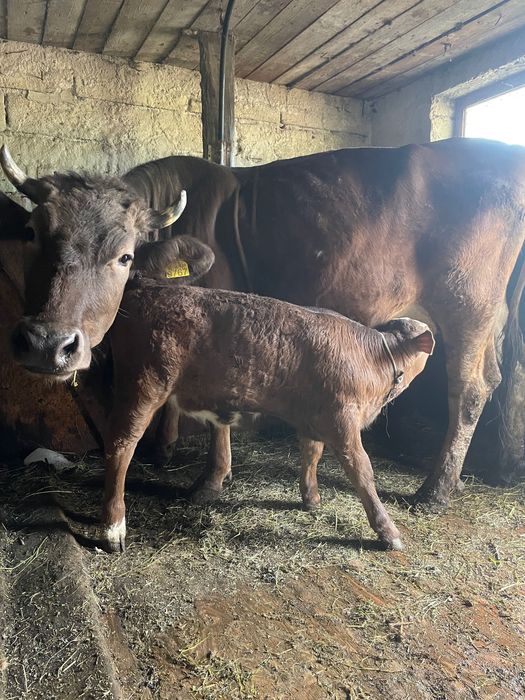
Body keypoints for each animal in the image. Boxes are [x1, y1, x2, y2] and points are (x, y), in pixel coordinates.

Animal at [1, 138, 525, 511]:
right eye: (32, 234)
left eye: (124, 256)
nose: (49, 343)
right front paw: (164, 449)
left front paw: (210, 480)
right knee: (495, 378)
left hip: (468, 305)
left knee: (469, 389)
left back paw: (435, 492)